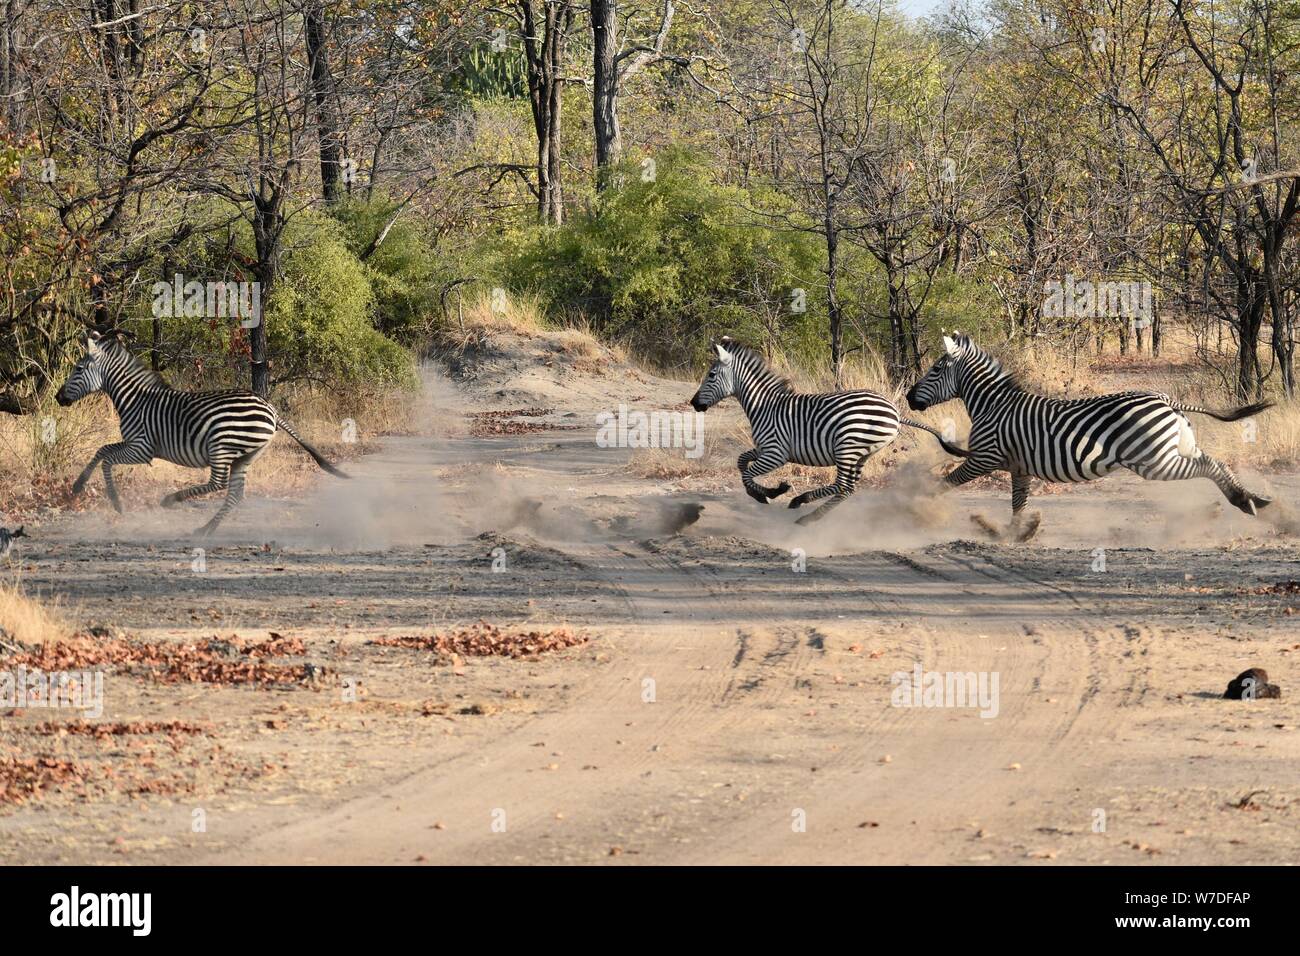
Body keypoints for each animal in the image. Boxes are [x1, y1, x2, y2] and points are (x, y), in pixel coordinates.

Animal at [57, 329, 345, 538]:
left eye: (78, 369)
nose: (58, 397)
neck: (134, 399)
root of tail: (271, 408)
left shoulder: (142, 448)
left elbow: (106, 458)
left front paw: (116, 502)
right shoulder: (133, 444)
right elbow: (102, 450)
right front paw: (79, 485)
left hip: (222, 446)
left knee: (218, 483)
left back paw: (172, 499)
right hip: (246, 455)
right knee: (234, 494)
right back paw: (206, 529)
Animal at [691, 340, 967, 528]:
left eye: (711, 375)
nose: (694, 404)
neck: (764, 406)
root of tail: (896, 412)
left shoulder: (776, 453)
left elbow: (747, 473)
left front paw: (768, 494)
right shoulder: (764, 448)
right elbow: (741, 462)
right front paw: (769, 492)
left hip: (848, 447)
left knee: (843, 486)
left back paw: (803, 507)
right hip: (862, 453)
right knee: (848, 487)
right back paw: (807, 510)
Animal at [904, 330, 1268, 541]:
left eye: (935, 369)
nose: (908, 398)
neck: (993, 405)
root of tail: (1165, 399)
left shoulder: (984, 458)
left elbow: (944, 484)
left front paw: (915, 511)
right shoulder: (1019, 467)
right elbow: (1018, 504)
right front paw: (1016, 533)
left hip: (1154, 461)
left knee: (1209, 466)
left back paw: (1243, 501)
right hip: (1174, 449)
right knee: (1216, 462)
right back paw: (1251, 499)